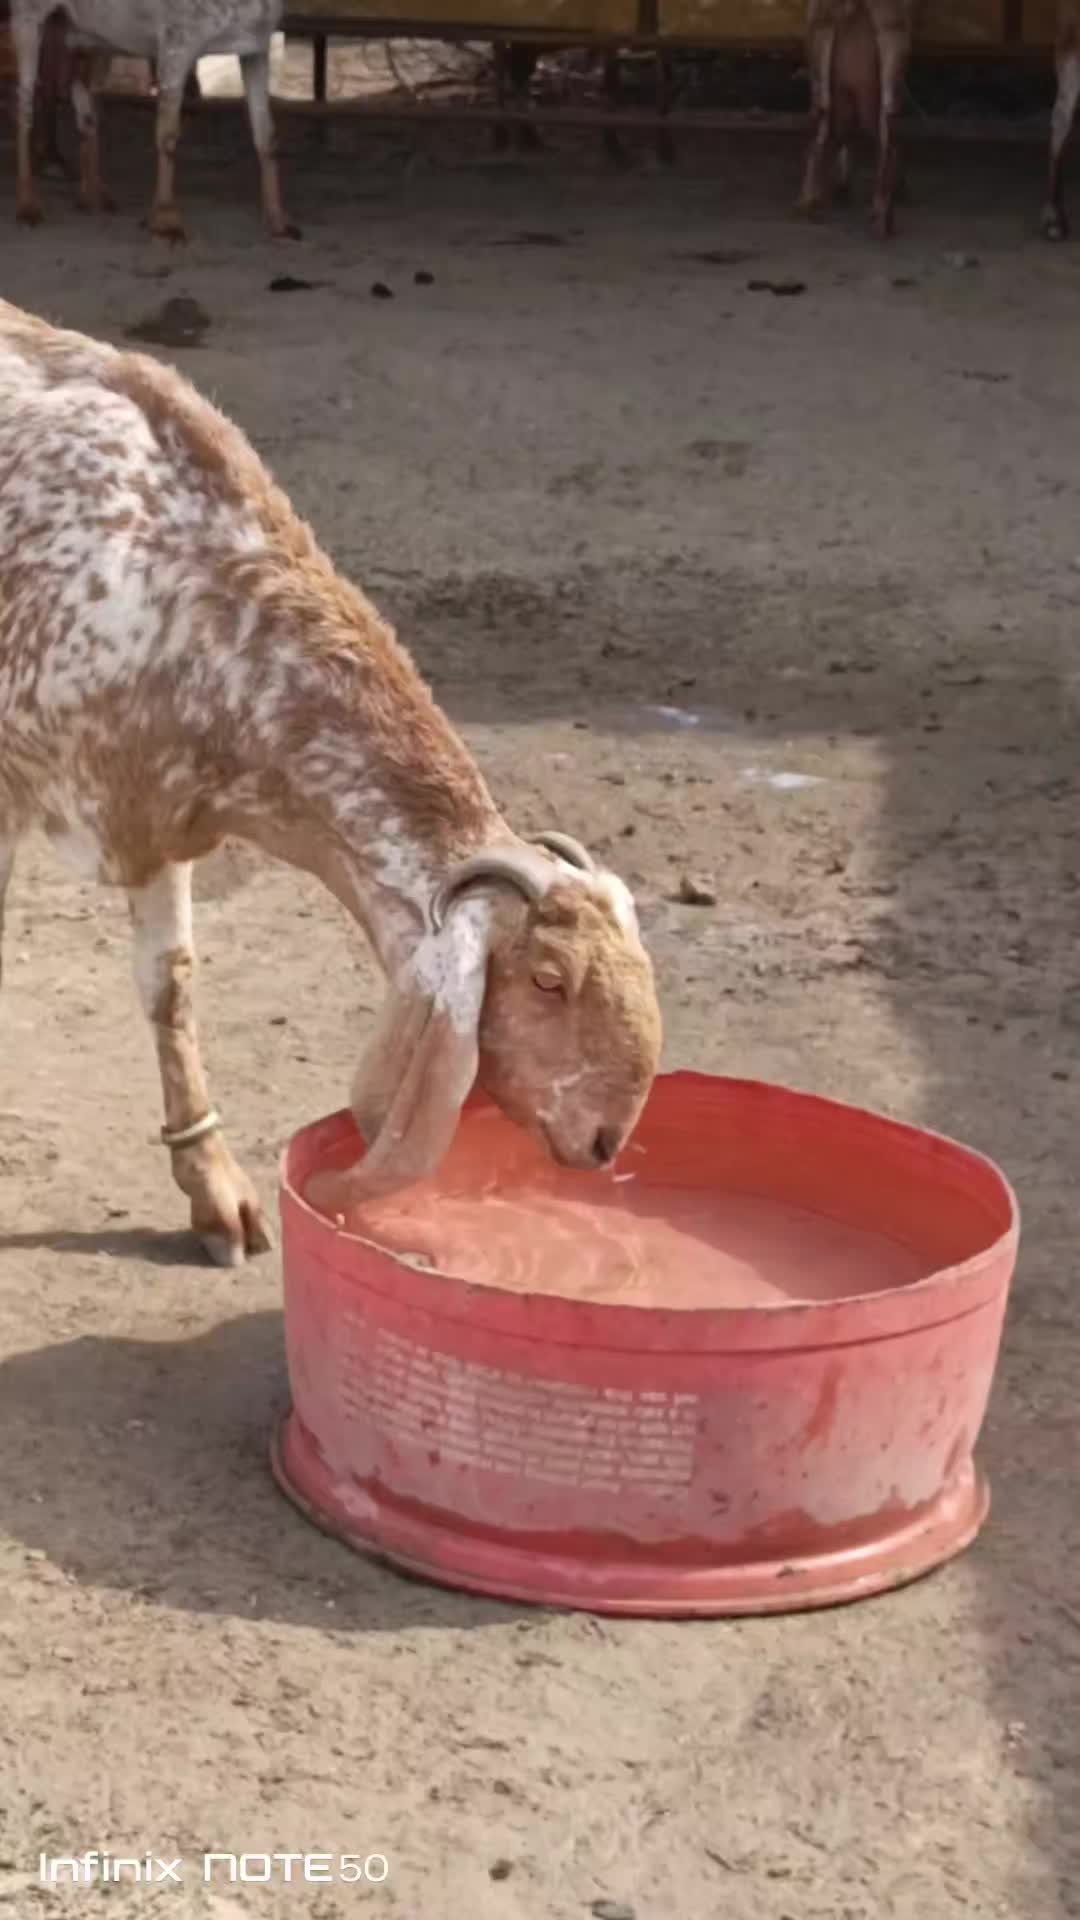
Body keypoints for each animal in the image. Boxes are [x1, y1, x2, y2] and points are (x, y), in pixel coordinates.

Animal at [11, 1, 296, 240]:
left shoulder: (255, 52)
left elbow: (266, 135)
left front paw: (278, 221)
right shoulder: (176, 46)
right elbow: (167, 136)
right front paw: (166, 221)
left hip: (93, 38)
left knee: (86, 104)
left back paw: (92, 196)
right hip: (29, 19)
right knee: (25, 107)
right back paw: (27, 206)